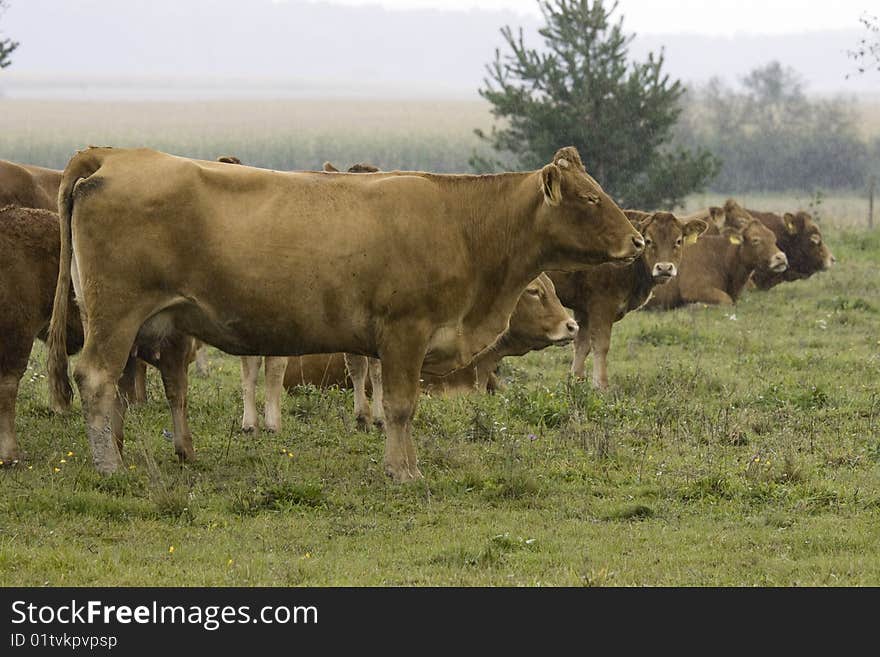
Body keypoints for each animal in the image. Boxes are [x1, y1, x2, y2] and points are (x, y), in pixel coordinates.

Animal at [48, 145, 640, 482]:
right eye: (590, 198)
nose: (636, 241)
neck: (463, 225)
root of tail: (114, 156)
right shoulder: (405, 332)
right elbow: (399, 406)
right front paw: (404, 470)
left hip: (131, 319)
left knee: (127, 384)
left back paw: (142, 452)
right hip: (116, 313)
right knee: (95, 377)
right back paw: (110, 467)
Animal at [552, 210, 712, 386]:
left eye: (678, 241)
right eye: (648, 240)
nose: (664, 268)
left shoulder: (583, 308)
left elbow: (582, 346)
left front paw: (576, 383)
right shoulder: (601, 305)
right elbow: (601, 345)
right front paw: (601, 385)